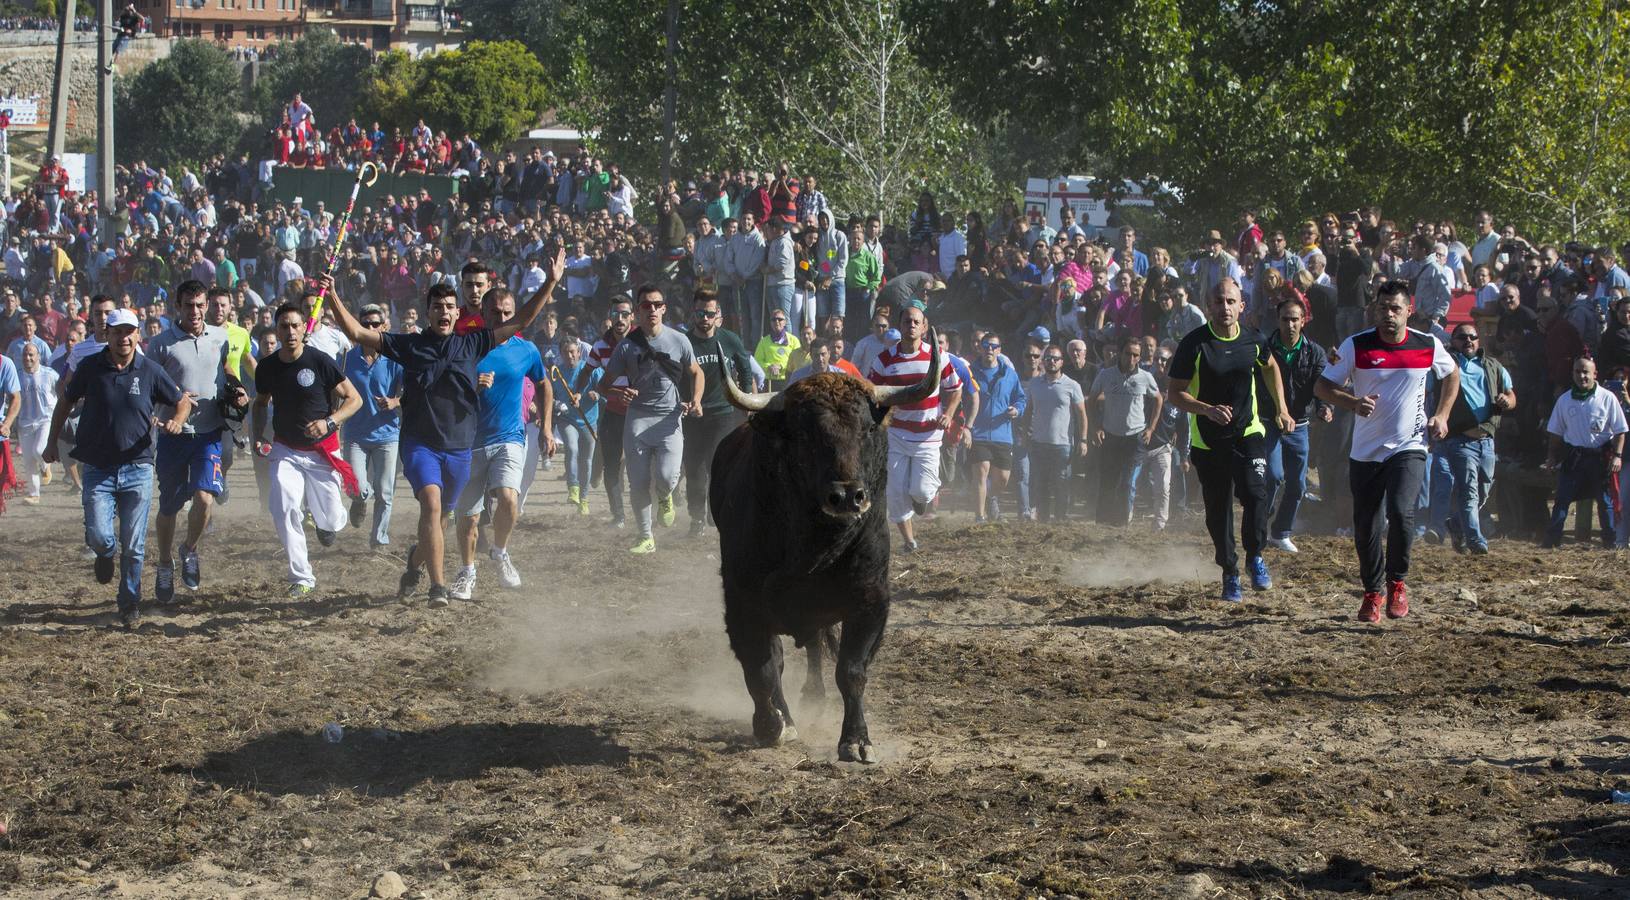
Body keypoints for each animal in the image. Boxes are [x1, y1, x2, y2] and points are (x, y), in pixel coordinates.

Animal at [704, 334, 945, 763]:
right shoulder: (743, 603)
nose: (847, 497)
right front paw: (771, 725)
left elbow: (850, 670)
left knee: (815, 649)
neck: (816, 546)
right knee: (778, 662)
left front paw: (856, 741)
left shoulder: (870, 600)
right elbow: (762, 668)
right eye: (805, 435)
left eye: (867, 429)